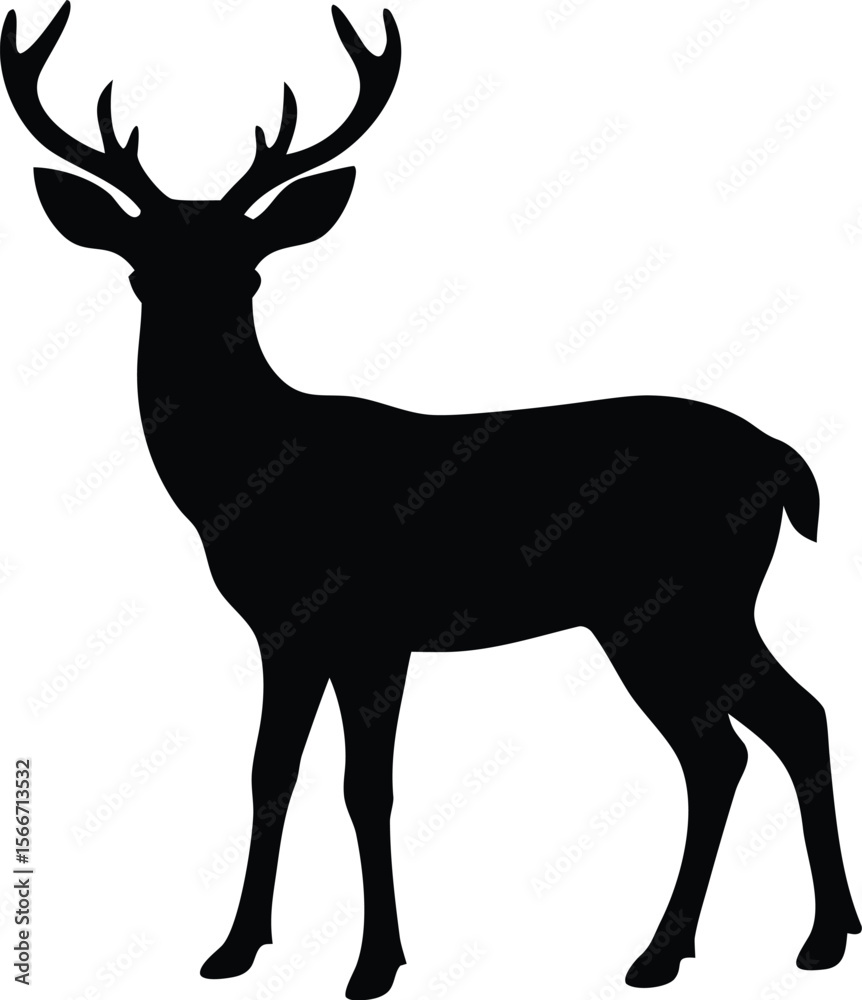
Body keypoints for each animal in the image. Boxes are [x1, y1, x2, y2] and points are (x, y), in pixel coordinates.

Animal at [2, 3, 858, 997]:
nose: (193, 358)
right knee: (755, 734)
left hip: (683, 601)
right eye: (141, 270)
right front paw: (235, 948)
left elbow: (364, 786)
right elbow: (268, 773)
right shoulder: (286, 632)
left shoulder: (374, 625)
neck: (255, 482)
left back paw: (753, 943)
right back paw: (750, 942)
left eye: (248, 271)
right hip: (673, 613)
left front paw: (375, 963)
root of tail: (789, 463)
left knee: (754, 734)